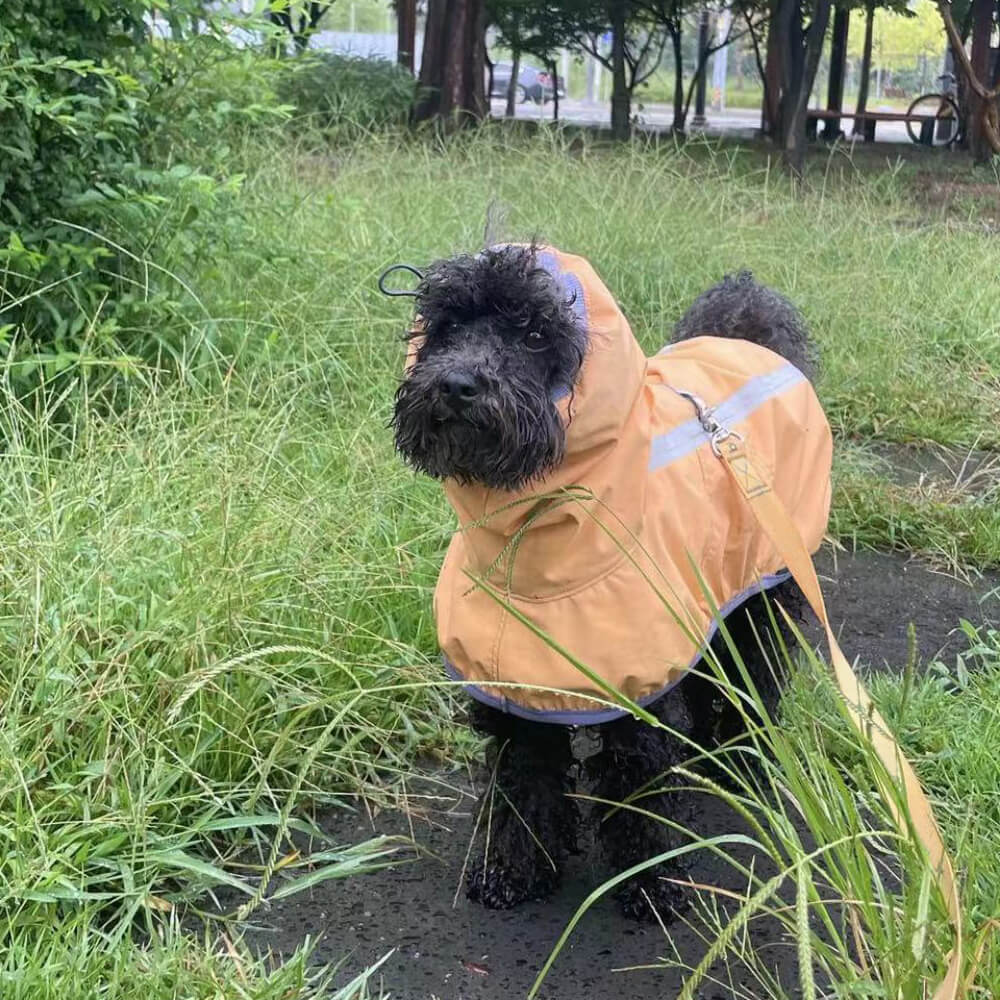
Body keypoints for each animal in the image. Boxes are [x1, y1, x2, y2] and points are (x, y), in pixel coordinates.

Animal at [390, 244, 812, 920]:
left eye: (536, 335)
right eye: (449, 328)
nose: (457, 385)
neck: (532, 553)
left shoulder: (638, 690)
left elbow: (640, 785)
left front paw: (652, 882)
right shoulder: (516, 688)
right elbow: (522, 783)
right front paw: (514, 869)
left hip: (761, 596)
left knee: (757, 672)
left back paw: (742, 761)